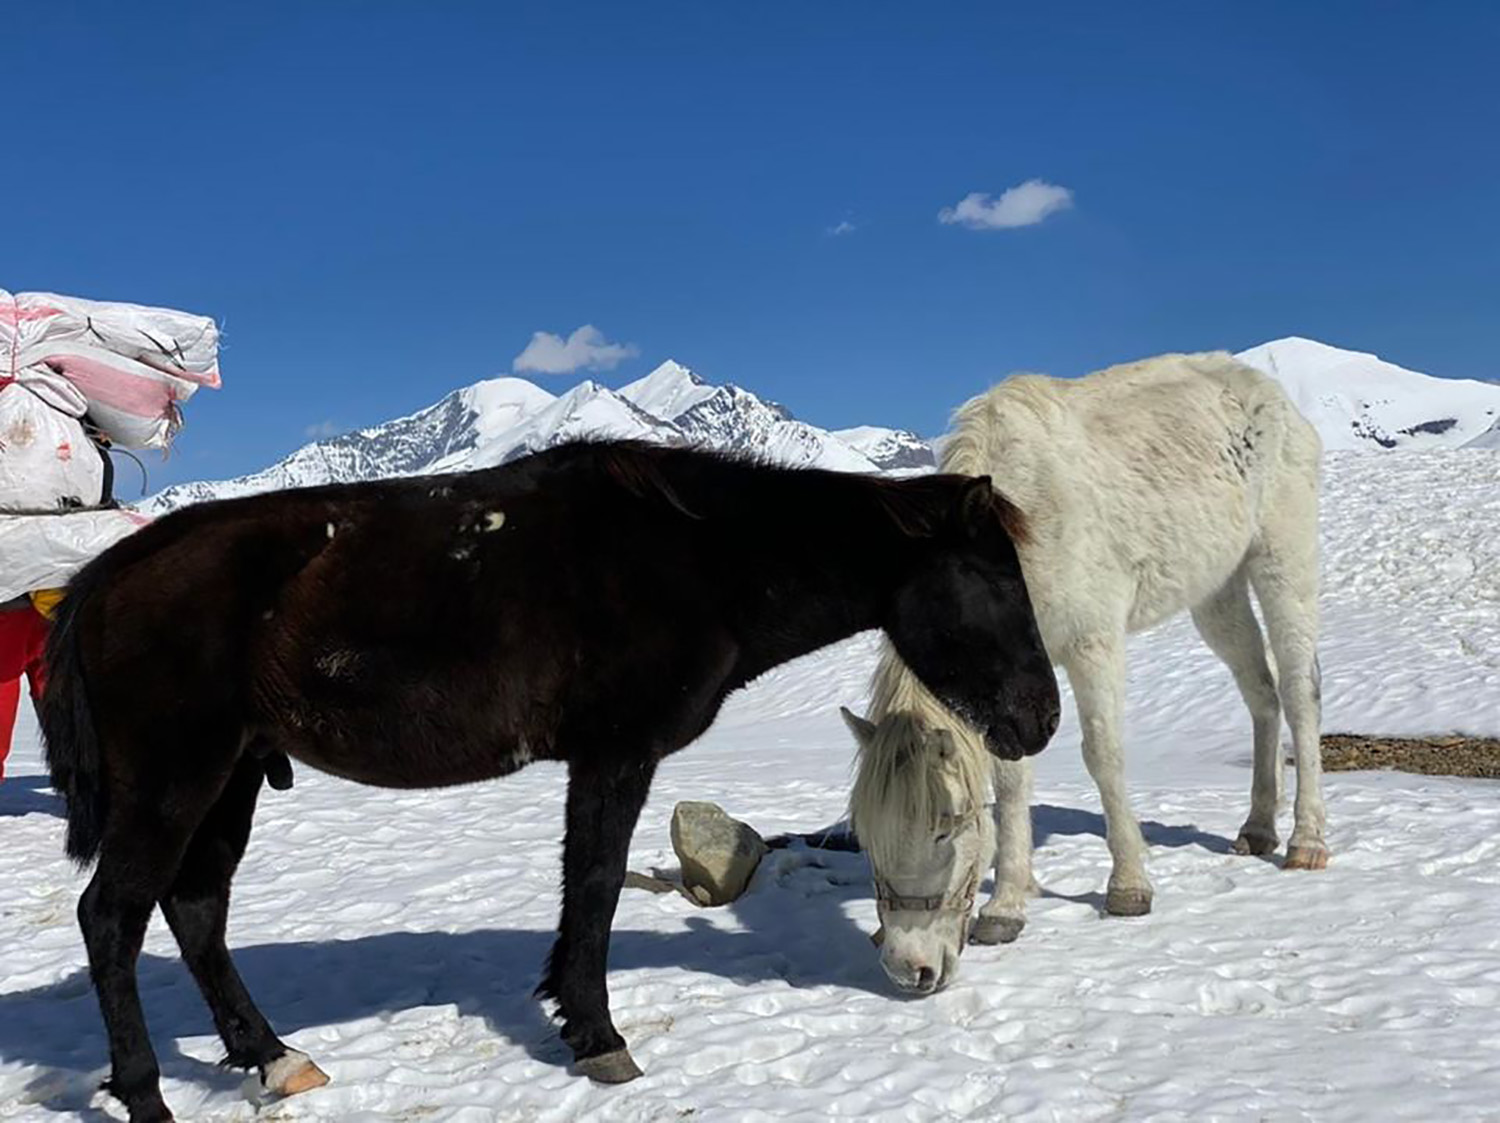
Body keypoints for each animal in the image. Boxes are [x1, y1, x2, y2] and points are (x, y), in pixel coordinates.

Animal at [43, 440, 1056, 1121]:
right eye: (996, 582)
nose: (1040, 718)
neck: (696, 554)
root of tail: (111, 575)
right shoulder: (615, 755)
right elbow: (596, 885)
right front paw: (600, 1037)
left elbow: (582, 886)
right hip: (177, 780)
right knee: (112, 916)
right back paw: (147, 1096)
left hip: (233, 778)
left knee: (195, 909)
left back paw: (272, 1057)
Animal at [846, 350, 1326, 989]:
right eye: (867, 838)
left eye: (944, 827)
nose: (910, 969)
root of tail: (1271, 394)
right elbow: (1012, 780)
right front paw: (1006, 907)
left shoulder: (1092, 642)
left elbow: (1102, 755)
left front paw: (1128, 888)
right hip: (1216, 590)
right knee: (1261, 695)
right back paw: (1257, 828)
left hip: (1281, 559)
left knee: (1298, 692)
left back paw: (1306, 841)